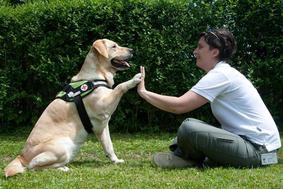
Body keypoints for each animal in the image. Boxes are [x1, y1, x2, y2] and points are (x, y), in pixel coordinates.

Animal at [4, 38, 142, 177]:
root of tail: (21, 157)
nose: (132, 50)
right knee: (33, 166)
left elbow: (109, 146)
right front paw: (134, 79)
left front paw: (116, 160)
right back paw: (62, 168)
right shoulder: (103, 106)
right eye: (114, 46)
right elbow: (119, 87)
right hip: (62, 147)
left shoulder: (102, 126)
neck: (95, 76)